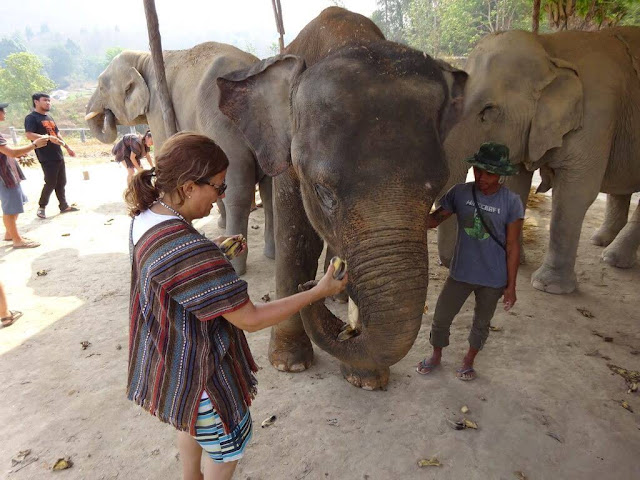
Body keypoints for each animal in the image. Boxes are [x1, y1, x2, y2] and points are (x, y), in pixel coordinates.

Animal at [84, 41, 274, 274]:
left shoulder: (157, 108)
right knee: (269, 190)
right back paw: (271, 254)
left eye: (102, 86)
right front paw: (219, 224)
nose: (108, 114)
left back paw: (237, 266)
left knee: (239, 191)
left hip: (224, 127)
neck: (142, 58)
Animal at [216, 7, 464, 390]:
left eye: (436, 190)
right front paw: (289, 363)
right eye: (323, 192)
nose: (310, 286)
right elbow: (297, 239)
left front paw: (366, 380)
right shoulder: (287, 159)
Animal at [438, 29, 640, 296]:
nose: (451, 263)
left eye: (488, 110)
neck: (549, 48)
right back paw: (602, 244)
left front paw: (548, 287)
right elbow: (515, 185)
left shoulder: (597, 117)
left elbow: (574, 193)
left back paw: (611, 258)